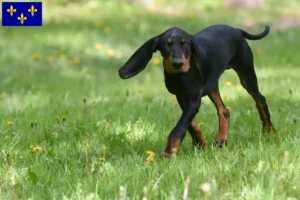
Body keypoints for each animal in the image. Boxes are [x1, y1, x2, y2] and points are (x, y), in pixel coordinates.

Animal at [118, 23, 276, 158]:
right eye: (166, 44)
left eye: (185, 44)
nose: (178, 64)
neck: (180, 76)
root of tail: (236, 30)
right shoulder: (181, 96)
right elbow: (191, 125)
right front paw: (201, 145)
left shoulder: (193, 99)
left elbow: (179, 128)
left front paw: (168, 153)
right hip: (212, 84)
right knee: (224, 110)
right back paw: (221, 140)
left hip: (246, 73)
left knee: (260, 99)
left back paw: (270, 131)